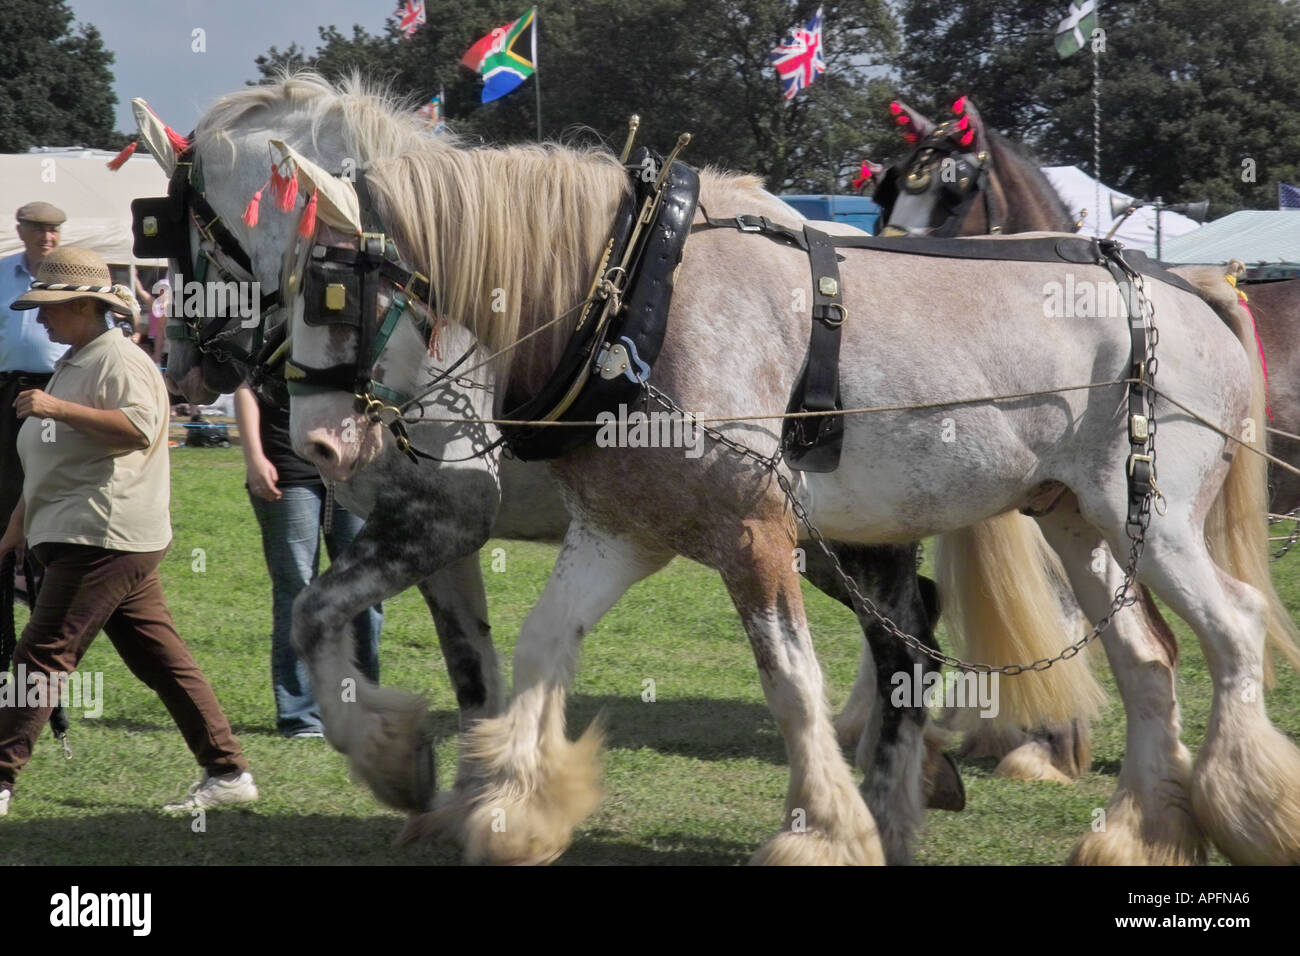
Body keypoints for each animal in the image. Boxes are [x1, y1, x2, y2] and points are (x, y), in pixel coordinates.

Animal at [279, 120, 1300, 865]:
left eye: (330, 291)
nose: (314, 443)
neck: (636, 297)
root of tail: (1186, 289)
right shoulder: (620, 532)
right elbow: (539, 647)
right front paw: (511, 808)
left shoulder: (756, 531)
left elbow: (792, 684)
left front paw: (826, 833)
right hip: (1078, 521)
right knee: (1148, 661)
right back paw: (1141, 833)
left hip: (1153, 523)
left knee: (1235, 628)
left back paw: (1251, 807)